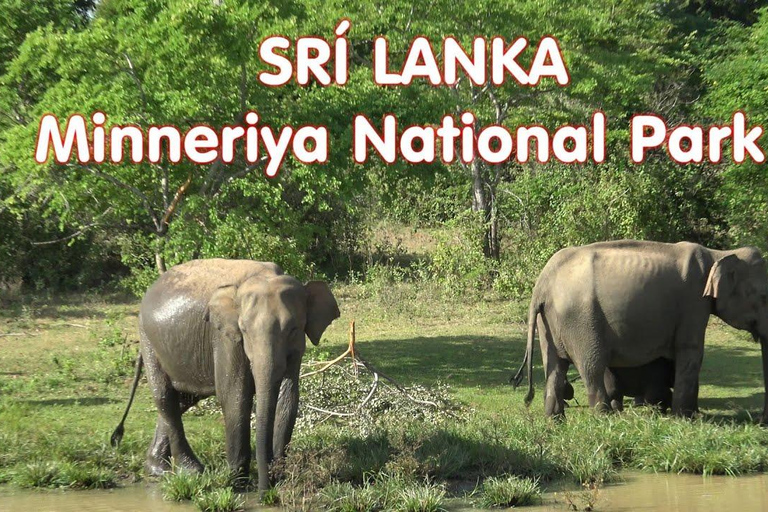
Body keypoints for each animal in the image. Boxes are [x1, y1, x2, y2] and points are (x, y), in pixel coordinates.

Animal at [111, 260, 340, 492]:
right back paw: (191, 471)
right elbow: (234, 395)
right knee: (165, 396)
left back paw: (157, 468)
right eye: (244, 329)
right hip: (148, 339)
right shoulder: (225, 337)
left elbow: (289, 397)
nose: (265, 492)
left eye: (293, 329)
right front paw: (237, 482)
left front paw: (278, 474)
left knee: (182, 400)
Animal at [512, 240, 768, 420]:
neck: (718, 254)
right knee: (592, 366)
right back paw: (605, 418)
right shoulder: (693, 305)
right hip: (580, 319)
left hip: (549, 321)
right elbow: (692, 352)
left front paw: (690, 415)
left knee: (554, 367)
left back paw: (555, 421)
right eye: (763, 296)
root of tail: (542, 283)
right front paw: (686, 418)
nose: (762, 420)